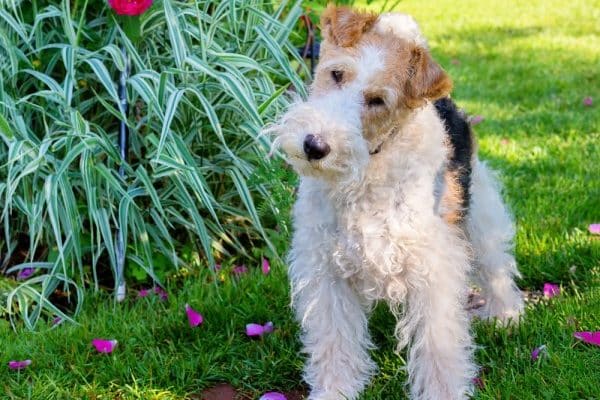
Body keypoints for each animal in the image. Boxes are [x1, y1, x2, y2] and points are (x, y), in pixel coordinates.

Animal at [268, 4, 524, 398]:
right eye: (336, 73)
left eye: (378, 100)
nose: (315, 146)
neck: (368, 171)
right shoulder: (325, 266)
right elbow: (335, 341)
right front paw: (334, 390)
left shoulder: (433, 269)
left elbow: (437, 347)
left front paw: (443, 393)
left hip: (479, 211)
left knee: (497, 267)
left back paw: (506, 315)